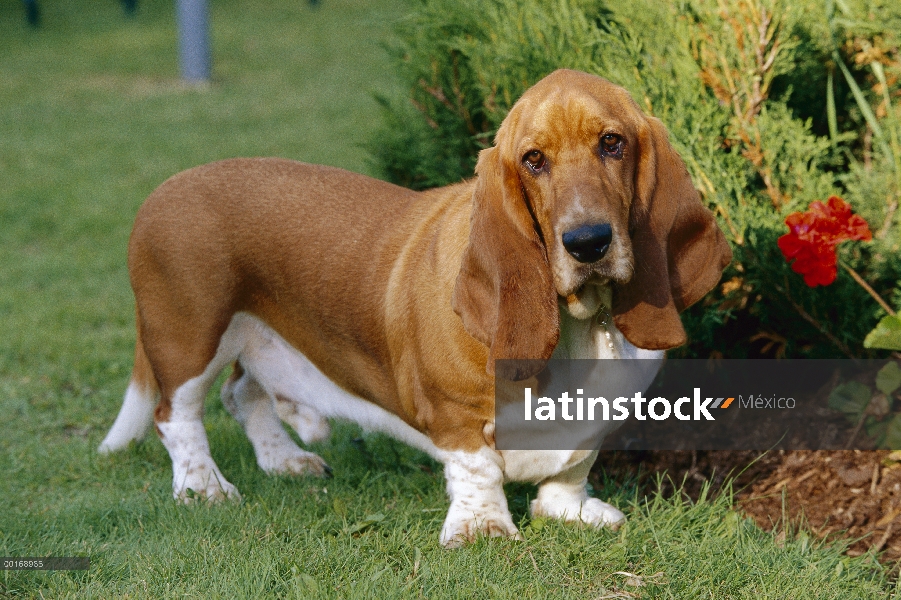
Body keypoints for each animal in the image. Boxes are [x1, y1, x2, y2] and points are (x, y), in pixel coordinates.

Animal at [98, 68, 732, 548]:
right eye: (533, 160)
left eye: (612, 143)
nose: (589, 242)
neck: (580, 323)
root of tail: (163, 190)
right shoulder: (455, 412)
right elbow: (476, 467)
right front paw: (482, 530)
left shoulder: (601, 414)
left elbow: (573, 466)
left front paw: (571, 511)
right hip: (191, 334)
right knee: (176, 415)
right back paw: (204, 488)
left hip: (259, 337)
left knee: (242, 394)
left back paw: (286, 461)